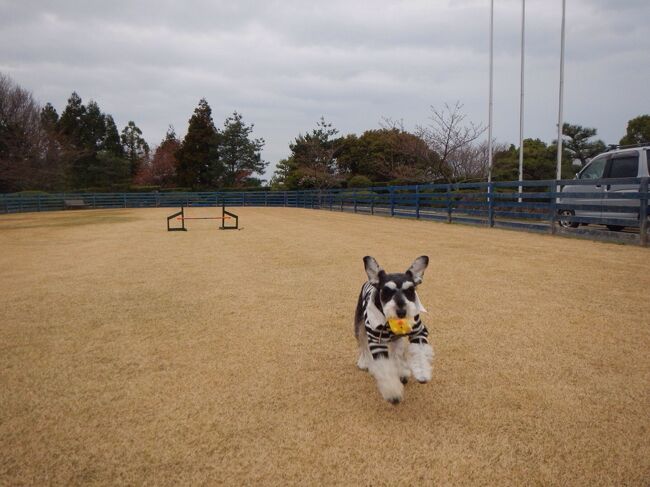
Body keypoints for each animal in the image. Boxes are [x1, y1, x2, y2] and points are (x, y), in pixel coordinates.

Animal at [352, 255, 432, 404]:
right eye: (386, 291)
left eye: (410, 290)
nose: (401, 312)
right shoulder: (377, 342)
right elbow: (384, 368)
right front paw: (393, 394)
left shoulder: (418, 333)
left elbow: (420, 353)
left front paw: (422, 373)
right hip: (360, 326)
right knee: (363, 344)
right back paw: (365, 362)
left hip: (397, 339)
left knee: (397, 353)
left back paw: (402, 371)